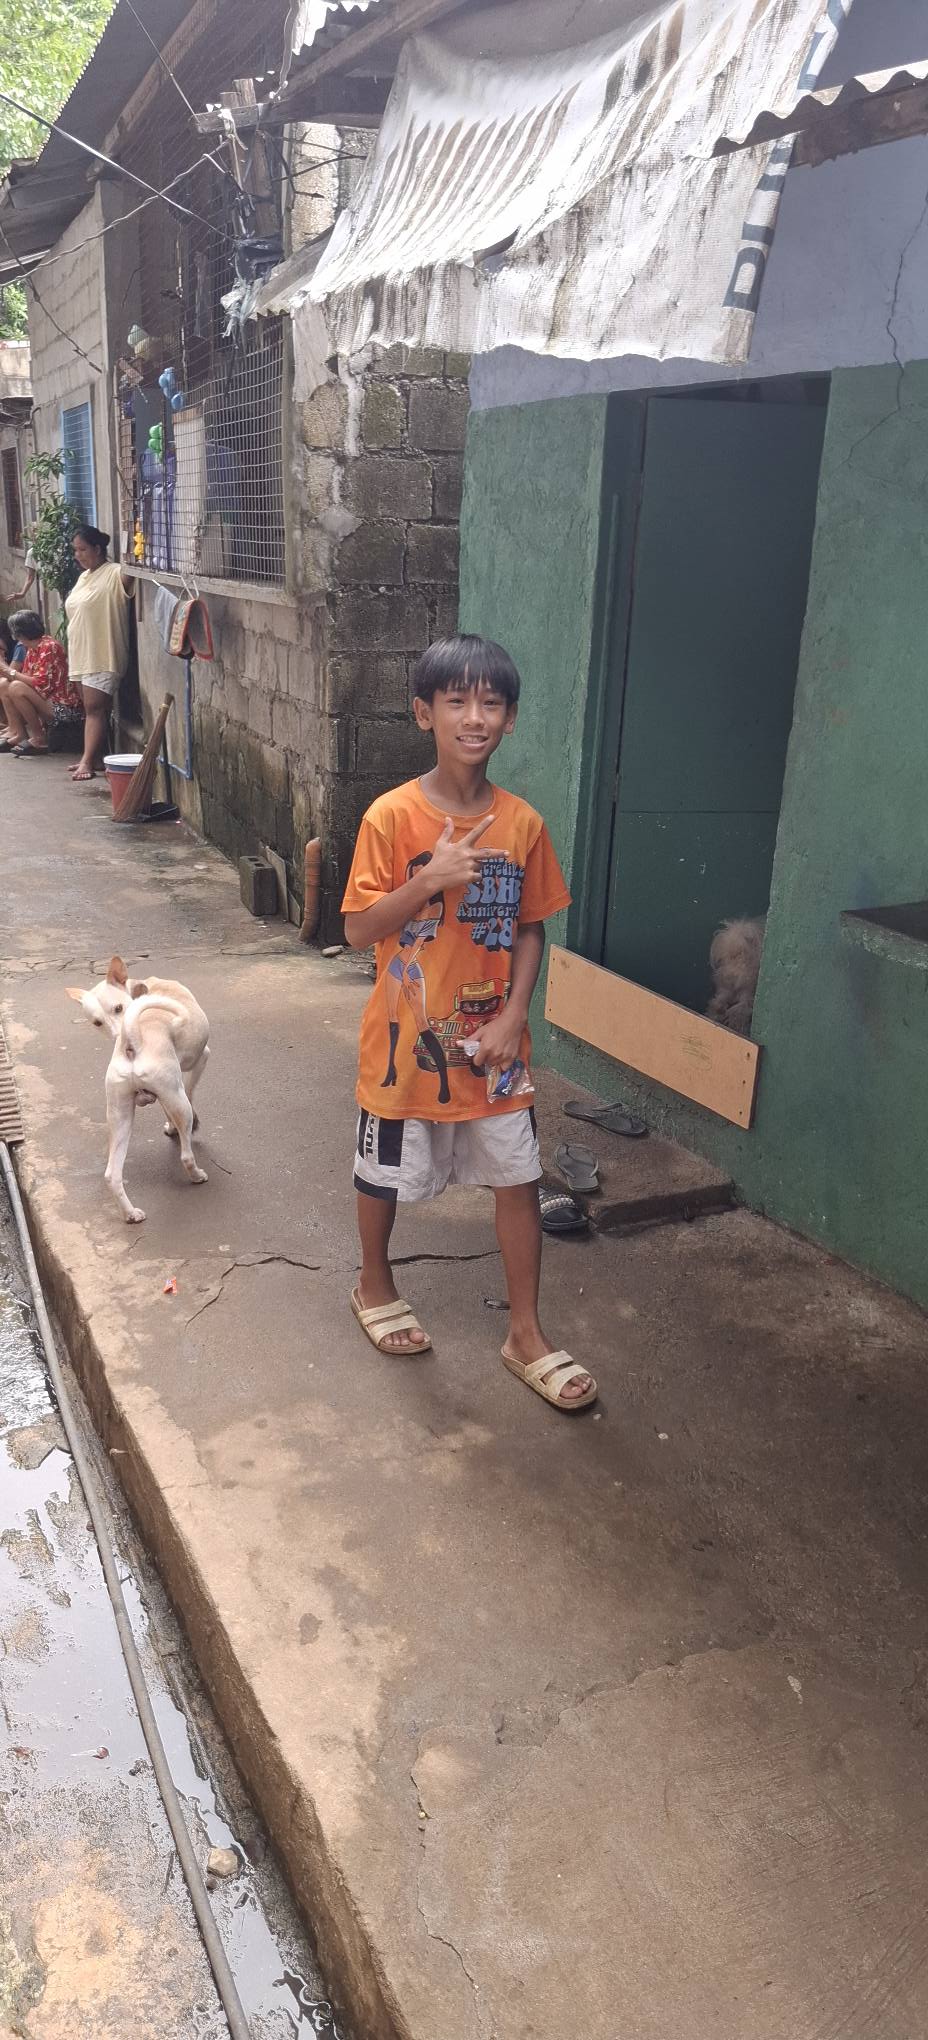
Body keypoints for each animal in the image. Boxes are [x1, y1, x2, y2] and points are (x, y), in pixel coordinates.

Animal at [66, 956, 210, 1224]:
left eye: (118, 1009)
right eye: (98, 1022)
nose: (116, 1036)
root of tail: (131, 1040)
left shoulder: (165, 1095)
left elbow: (167, 1111)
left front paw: (170, 1127)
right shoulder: (199, 1062)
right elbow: (191, 1091)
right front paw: (186, 1125)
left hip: (120, 1116)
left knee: (112, 1175)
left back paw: (131, 1214)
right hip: (176, 1099)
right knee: (186, 1155)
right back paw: (197, 1176)